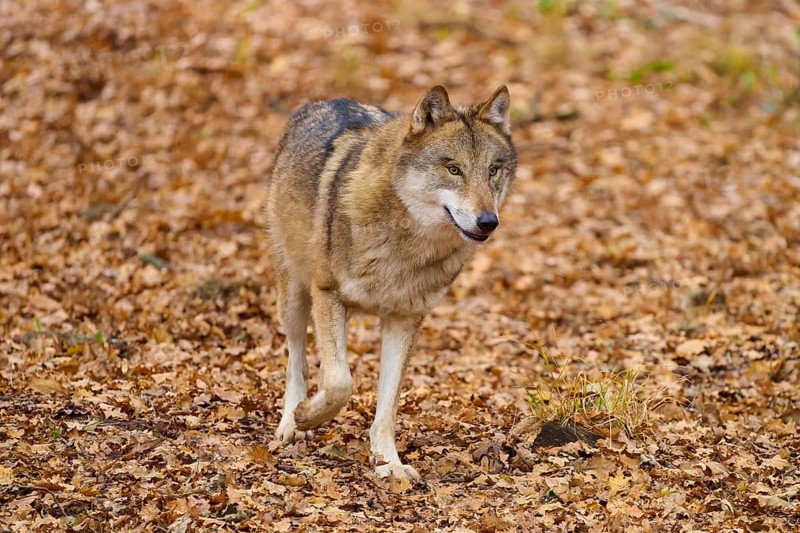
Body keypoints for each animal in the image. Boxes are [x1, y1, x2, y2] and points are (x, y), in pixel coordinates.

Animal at [266, 85, 516, 481]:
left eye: (493, 170)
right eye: (453, 169)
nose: (488, 221)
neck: (406, 246)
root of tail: (325, 102)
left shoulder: (405, 319)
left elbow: (386, 403)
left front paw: (388, 462)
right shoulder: (327, 294)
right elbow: (341, 383)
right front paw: (307, 416)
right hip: (293, 297)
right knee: (297, 360)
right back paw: (291, 421)